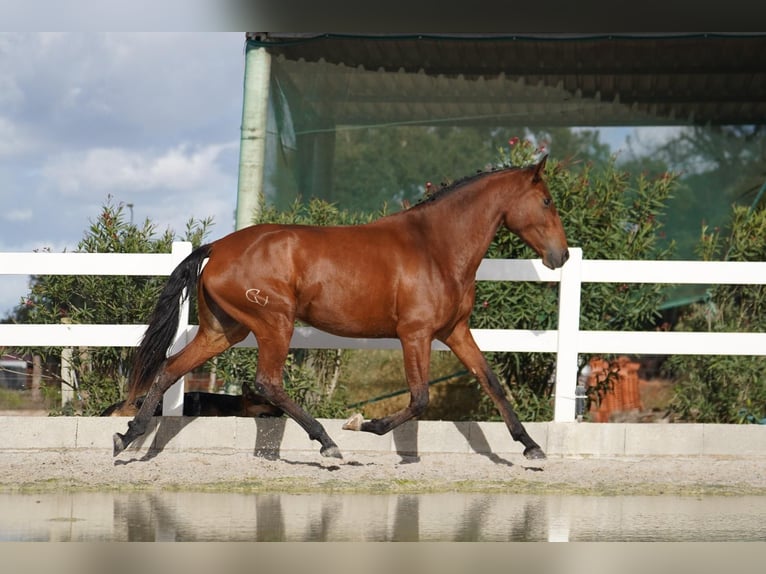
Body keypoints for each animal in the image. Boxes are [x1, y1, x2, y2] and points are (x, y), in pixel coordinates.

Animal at [114, 158, 568, 464]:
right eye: (546, 201)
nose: (560, 256)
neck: (435, 247)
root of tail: (217, 247)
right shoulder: (415, 333)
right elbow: (420, 398)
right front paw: (361, 424)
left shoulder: (455, 330)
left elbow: (491, 382)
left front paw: (531, 447)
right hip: (274, 323)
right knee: (267, 382)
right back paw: (328, 443)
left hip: (224, 331)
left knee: (171, 366)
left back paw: (128, 437)